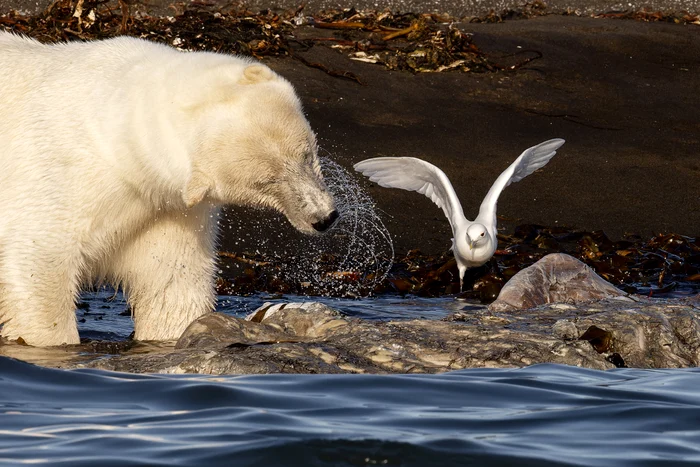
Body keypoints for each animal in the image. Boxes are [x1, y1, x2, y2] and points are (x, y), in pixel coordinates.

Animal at [0, 33, 336, 346]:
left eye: (306, 155)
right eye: (267, 182)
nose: (324, 218)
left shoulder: (165, 210)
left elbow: (171, 283)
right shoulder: (60, 171)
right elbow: (39, 261)